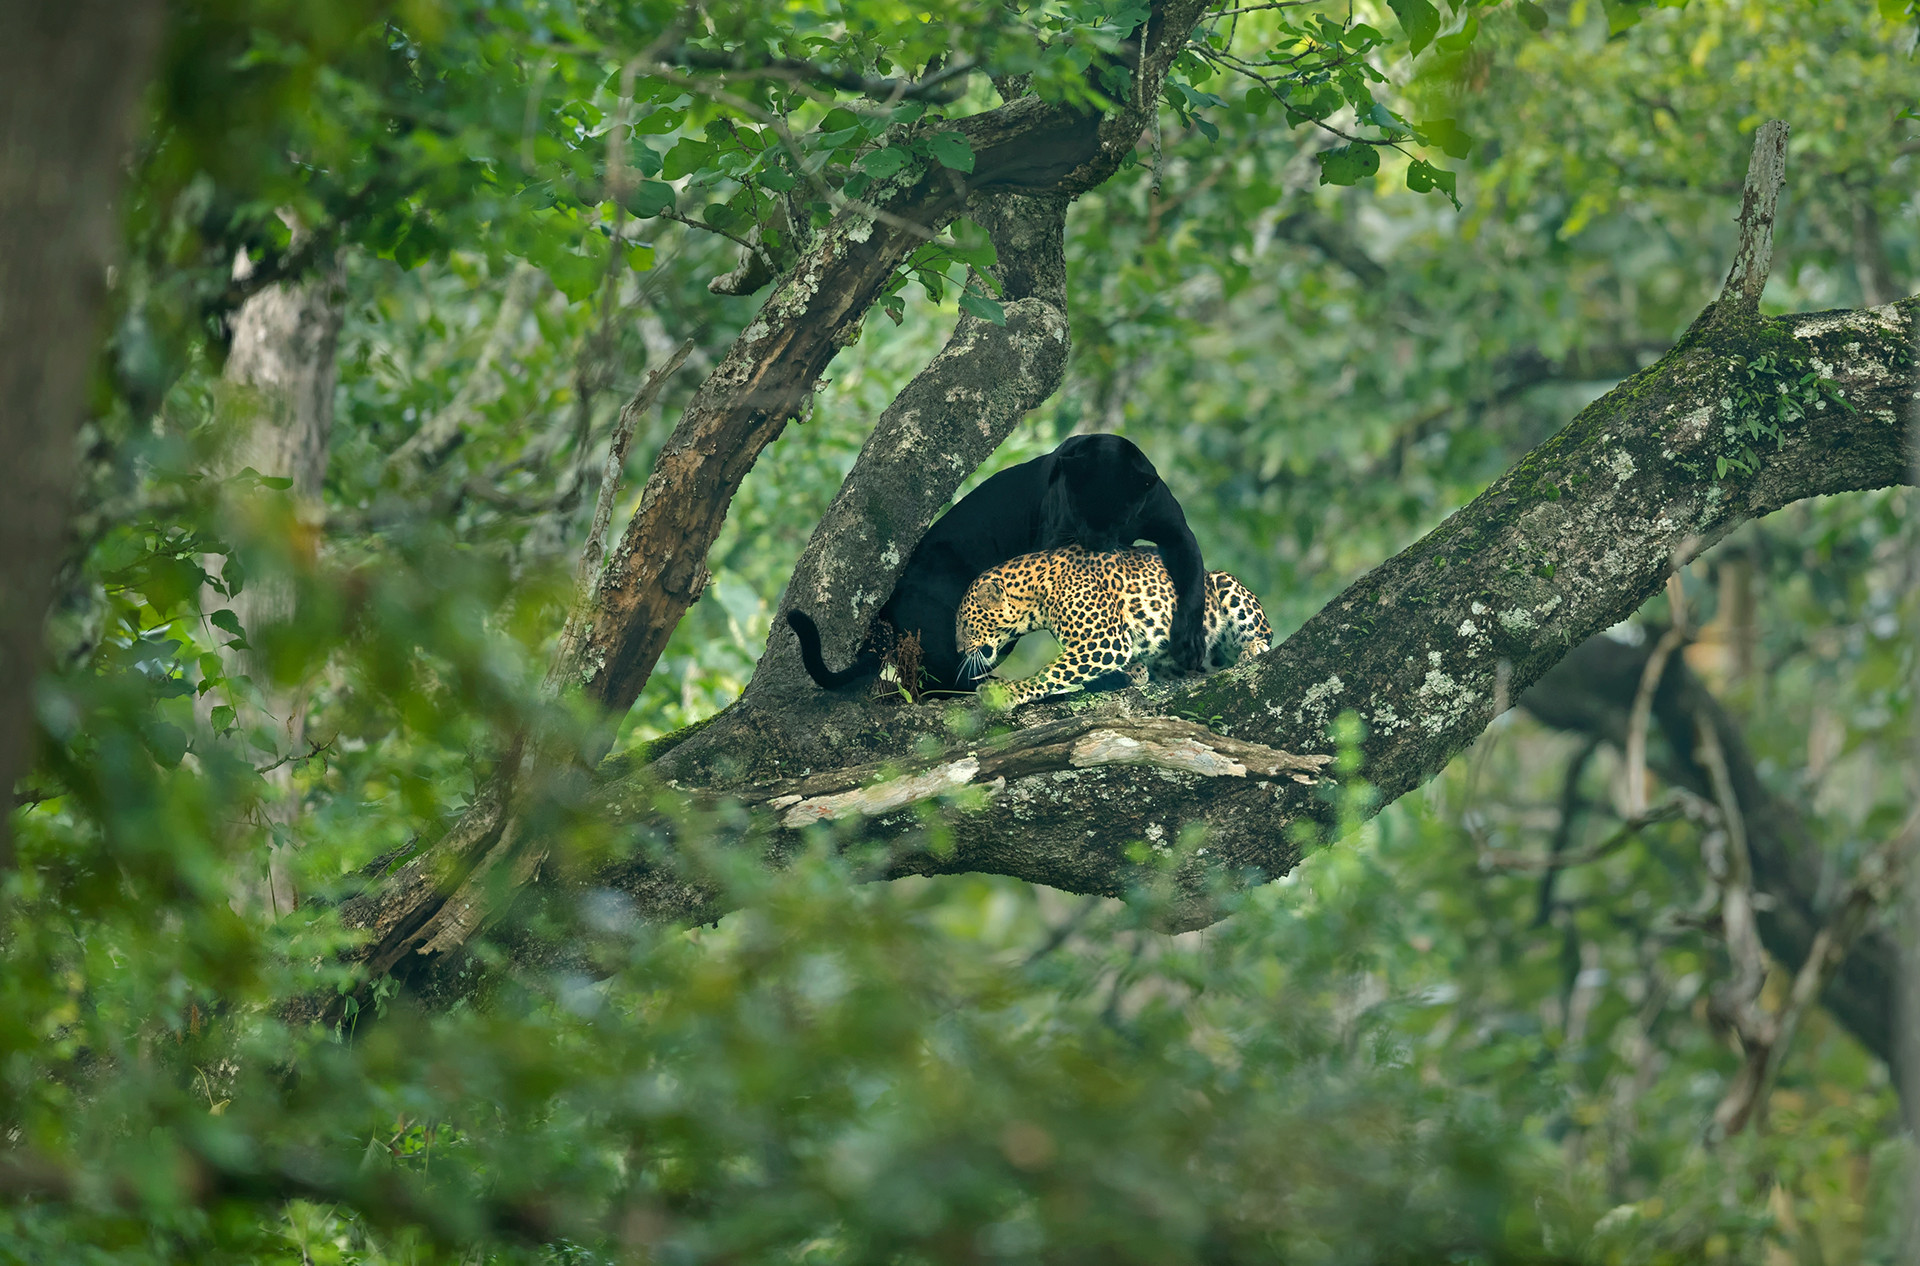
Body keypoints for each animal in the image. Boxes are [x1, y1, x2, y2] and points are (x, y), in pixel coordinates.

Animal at [955, 545, 1272, 711]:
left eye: (964, 624)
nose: (958, 649)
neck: (1035, 596)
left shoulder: (1103, 641)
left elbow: (1048, 673)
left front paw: (1004, 692)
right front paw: (1135, 672)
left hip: (1224, 584)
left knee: (1261, 635)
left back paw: (1252, 648)